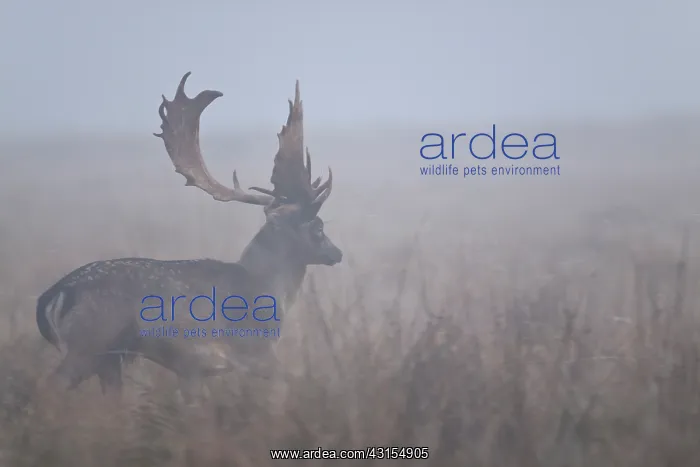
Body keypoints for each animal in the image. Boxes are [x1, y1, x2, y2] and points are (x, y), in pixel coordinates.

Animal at [35, 72, 342, 403]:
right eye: (318, 227)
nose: (337, 253)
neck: (265, 291)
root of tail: (55, 292)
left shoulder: (192, 370)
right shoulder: (252, 351)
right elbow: (285, 386)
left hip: (109, 357)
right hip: (89, 342)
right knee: (48, 387)